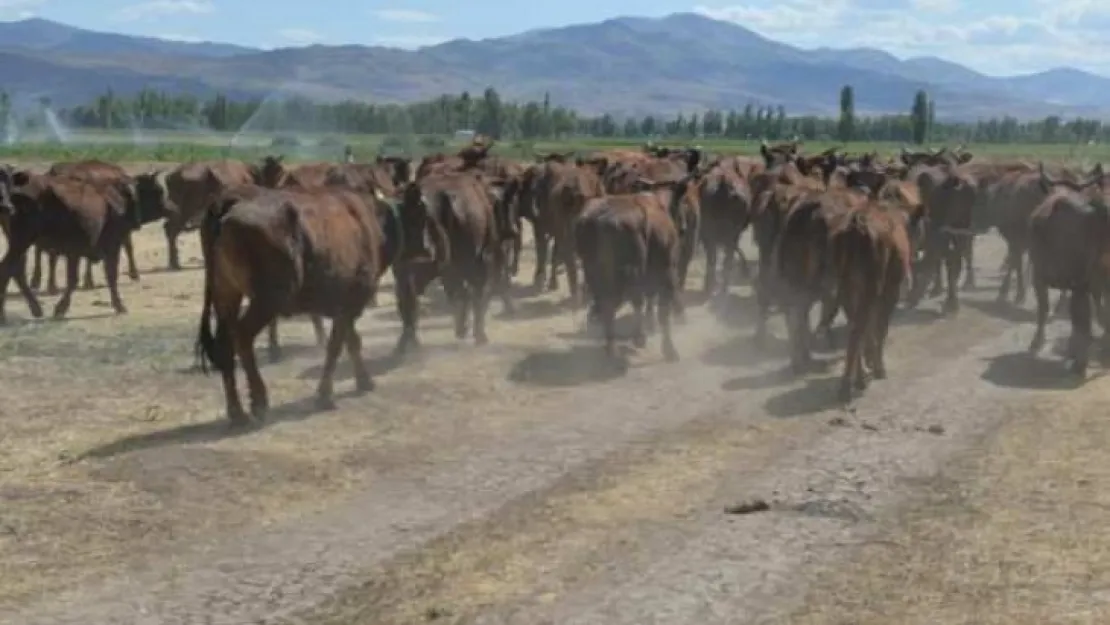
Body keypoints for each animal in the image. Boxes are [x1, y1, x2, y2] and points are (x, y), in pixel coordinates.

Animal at [195, 183, 404, 424]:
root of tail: (229, 201)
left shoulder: (344, 308)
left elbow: (351, 341)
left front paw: (363, 380)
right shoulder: (349, 302)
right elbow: (336, 346)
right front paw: (325, 396)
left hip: (227, 297)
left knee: (224, 344)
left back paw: (237, 413)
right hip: (266, 301)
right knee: (243, 336)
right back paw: (259, 403)